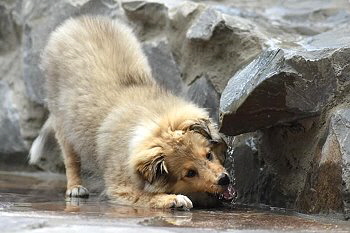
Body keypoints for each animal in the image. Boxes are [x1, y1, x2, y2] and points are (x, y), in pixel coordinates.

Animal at [29, 15, 235, 209]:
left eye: (208, 155)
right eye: (190, 173)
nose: (224, 180)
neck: (154, 121)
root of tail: (77, 21)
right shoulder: (120, 187)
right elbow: (145, 196)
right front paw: (174, 199)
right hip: (63, 122)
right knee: (71, 159)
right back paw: (75, 187)